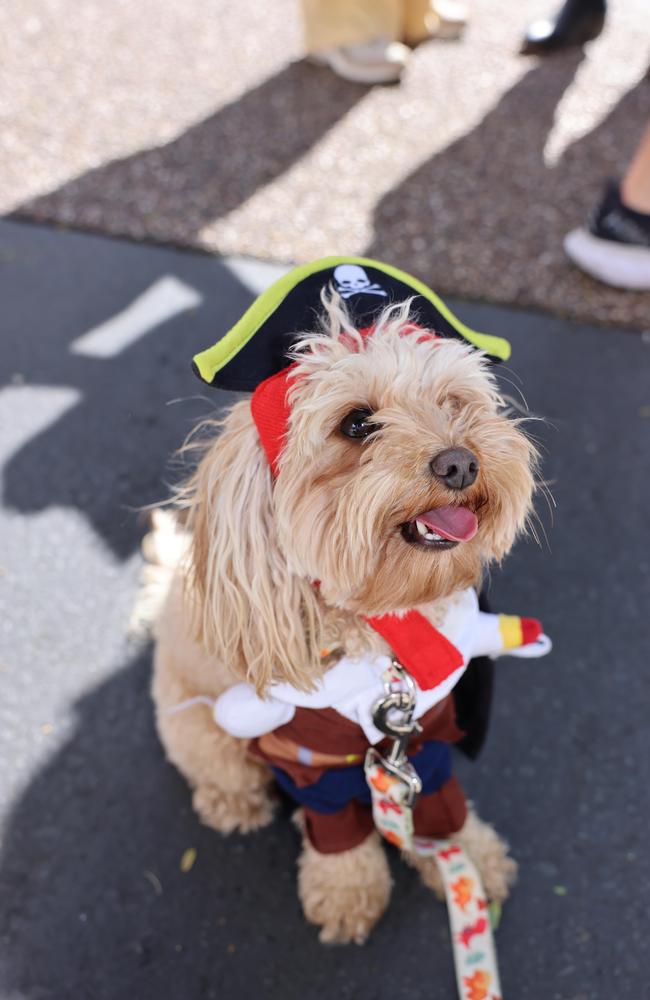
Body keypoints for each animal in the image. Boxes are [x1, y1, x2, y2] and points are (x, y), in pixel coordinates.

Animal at [149, 276, 540, 944]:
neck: (386, 635)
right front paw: (347, 892)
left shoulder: (425, 733)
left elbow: (440, 804)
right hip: (200, 724)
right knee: (219, 767)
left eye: (453, 400)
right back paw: (234, 802)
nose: (460, 462)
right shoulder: (313, 758)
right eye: (357, 423)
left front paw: (467, 860)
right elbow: (338, 831)